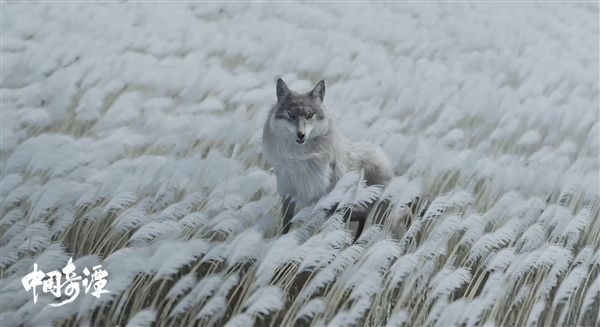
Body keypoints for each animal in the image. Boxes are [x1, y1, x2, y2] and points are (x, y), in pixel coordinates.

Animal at [262, 79, 394, 238]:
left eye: (310, 115)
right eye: (291, 115)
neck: (300, 158)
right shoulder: (288, 196)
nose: (301, 135)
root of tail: (384, 159)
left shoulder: (324, 200)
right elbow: (286, 226)